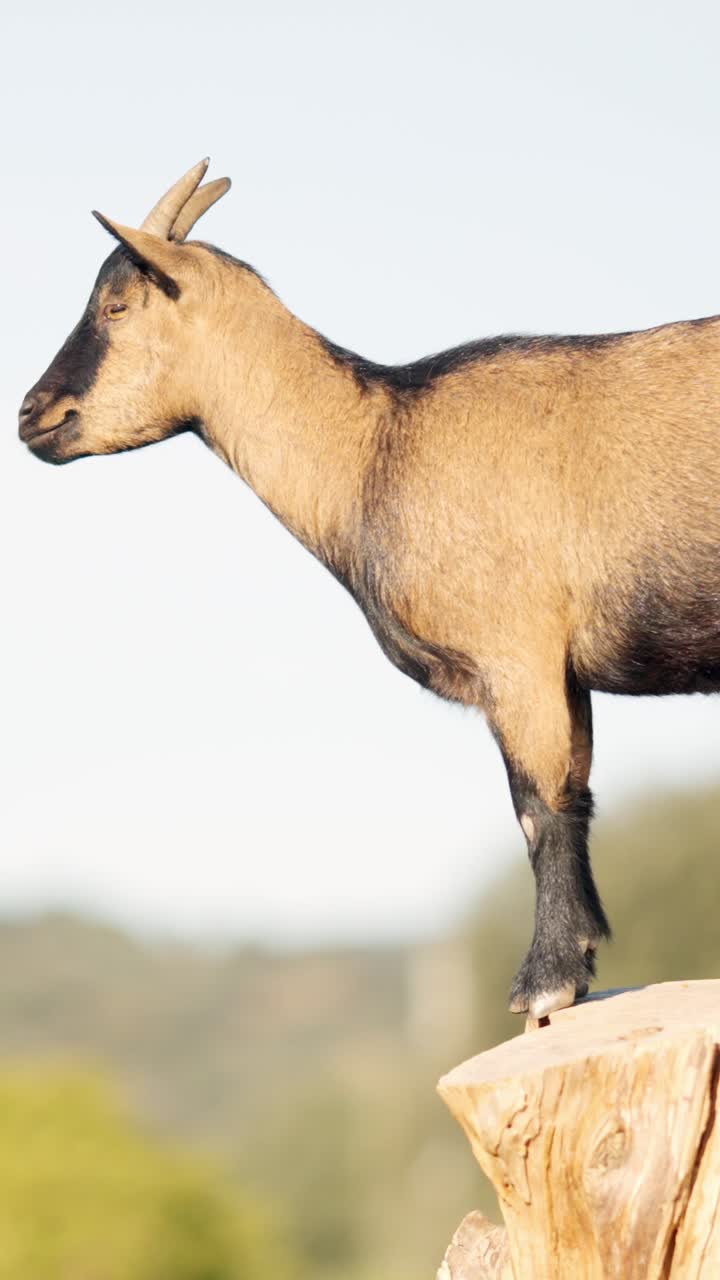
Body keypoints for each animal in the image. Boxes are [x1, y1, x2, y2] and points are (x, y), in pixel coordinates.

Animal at [19, 159, 719, 1018]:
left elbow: (541, 807)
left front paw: (545, 982)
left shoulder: (518, 653)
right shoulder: (560, 670)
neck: (376, 442)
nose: (33, 415)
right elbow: (573, 794)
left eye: (117, 304)